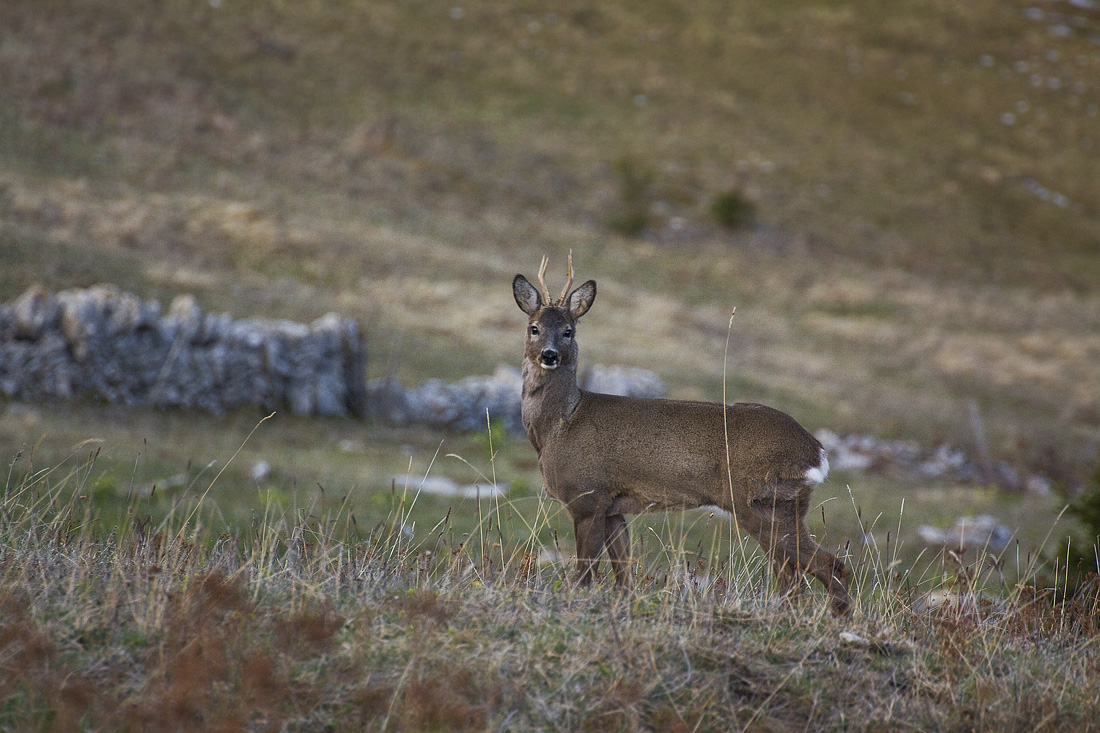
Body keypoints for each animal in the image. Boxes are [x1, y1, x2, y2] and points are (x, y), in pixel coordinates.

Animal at [512, 254, 849, 611]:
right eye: (534, 327)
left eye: (568, 331)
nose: (549, 355)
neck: (559, 425)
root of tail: (816, 451)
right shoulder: (613, 506)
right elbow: (625, 576)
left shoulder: (588, 496)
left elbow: (584, 575)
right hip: (784, 505)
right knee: (796, 578)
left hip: (763, 501)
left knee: (826, 567)